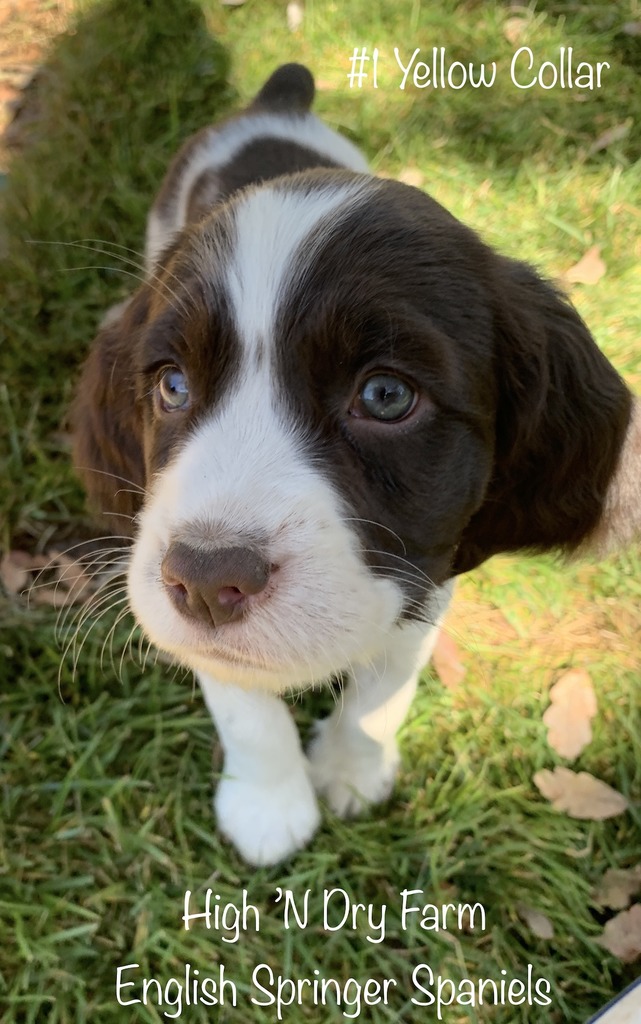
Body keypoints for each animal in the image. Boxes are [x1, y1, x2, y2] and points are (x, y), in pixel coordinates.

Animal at [71, 61, 638, 864]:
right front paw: (270, 806)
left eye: (386, 394)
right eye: (171, 385)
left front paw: (351, 768)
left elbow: (385, 687)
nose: (207, 579)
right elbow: (243, 704)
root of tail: (276, 99)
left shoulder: (426, 568)